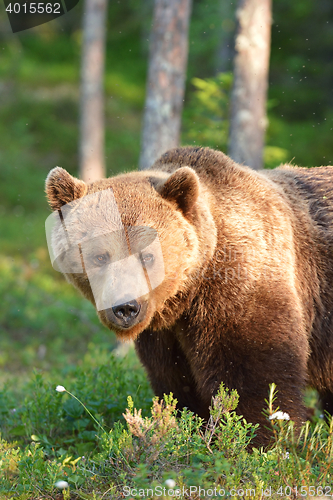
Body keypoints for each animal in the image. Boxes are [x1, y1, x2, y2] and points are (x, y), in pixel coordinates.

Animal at [46, 146, 332, 444]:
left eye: (147, 255)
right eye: (100, 256)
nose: (125, 307)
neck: (188, 294)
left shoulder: (245, 288)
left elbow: (257, 375)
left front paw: (258, 438)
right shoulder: (164, 335)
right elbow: (178, 385)